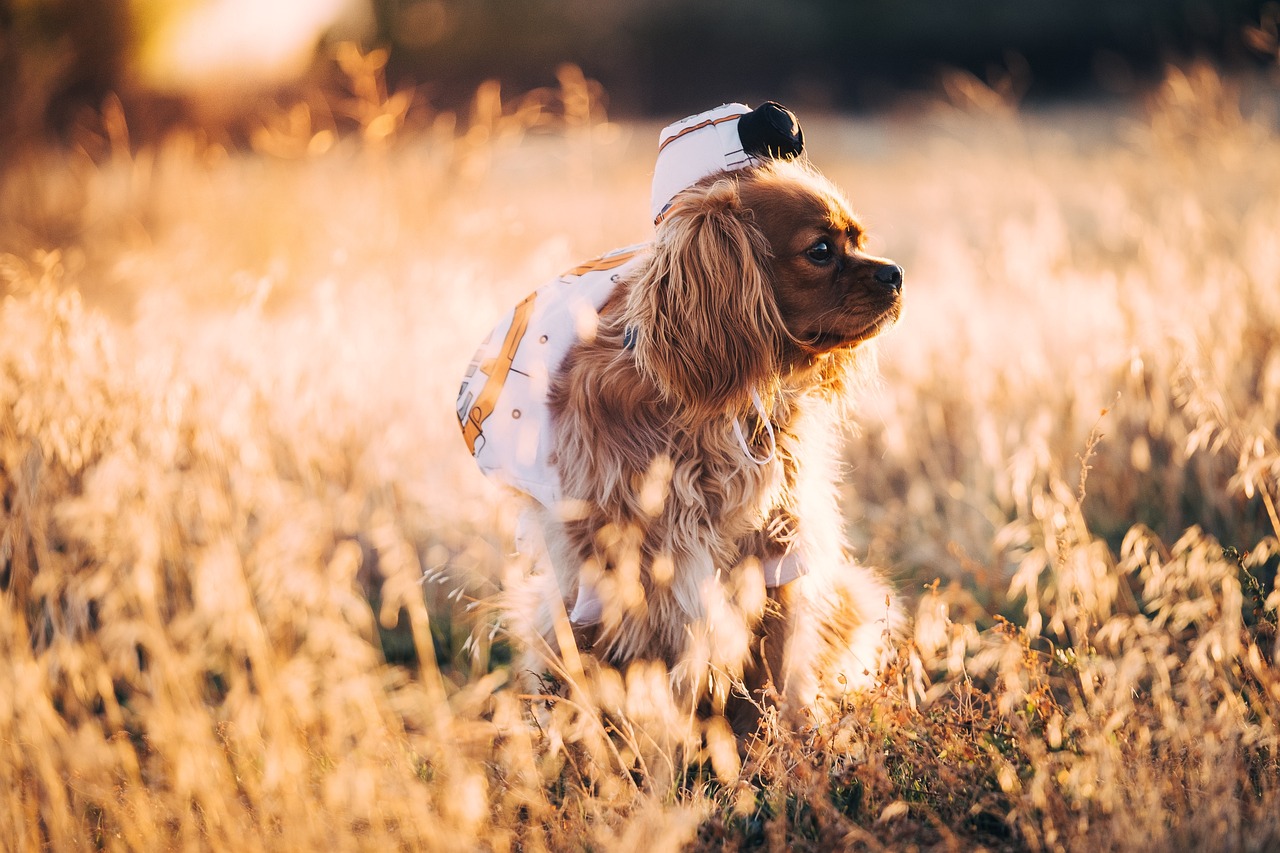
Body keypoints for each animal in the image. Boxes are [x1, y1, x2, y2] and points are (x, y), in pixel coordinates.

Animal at [522, 159, 911, 732]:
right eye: (821, 250)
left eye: (859, 239)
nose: (896, 273)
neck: (715, 416)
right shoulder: (650, 570)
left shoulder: (779, 552)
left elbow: (784, 670)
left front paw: (795, 741)